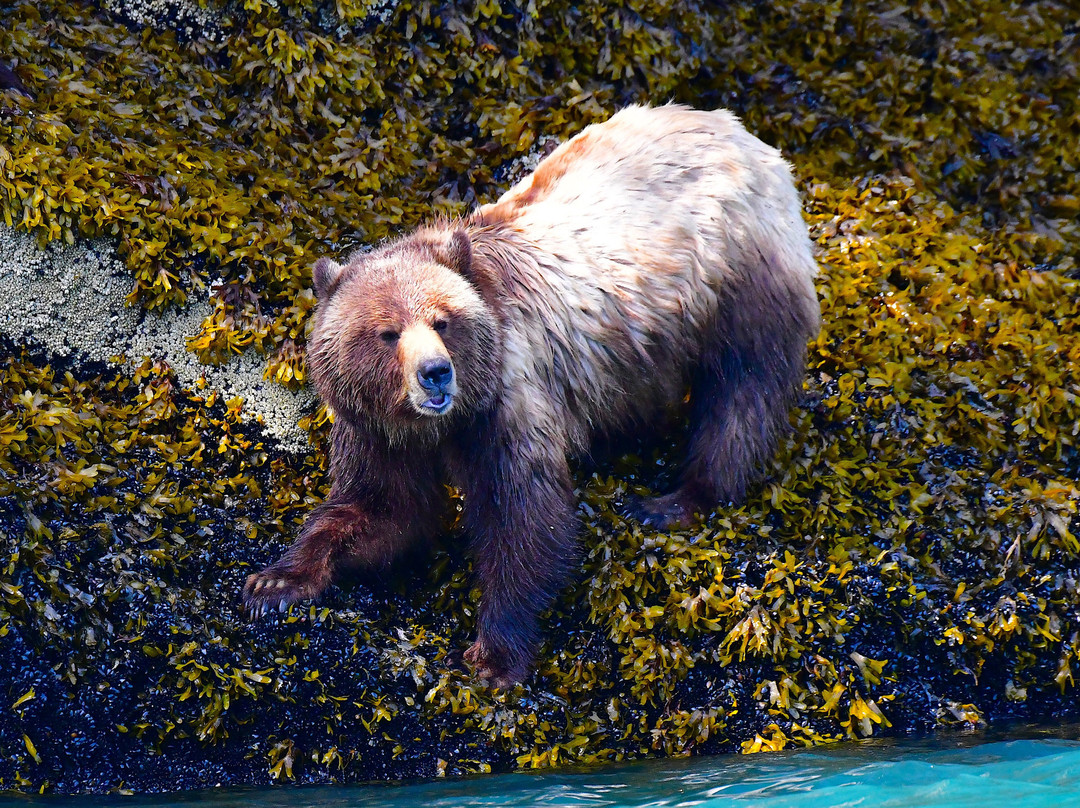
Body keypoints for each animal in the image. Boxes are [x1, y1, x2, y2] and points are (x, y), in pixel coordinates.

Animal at [242, 104, 821, 686]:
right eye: (387, 332)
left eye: (442, 321)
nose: (435, 374)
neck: (440, 424)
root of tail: (741, 133)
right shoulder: (377, 429)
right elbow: (385, 507)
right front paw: (276, 582)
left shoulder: (508, 399)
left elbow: (523, 516)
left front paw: (493, 655)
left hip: (739, 278)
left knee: (742, 392)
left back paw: (676, 499)